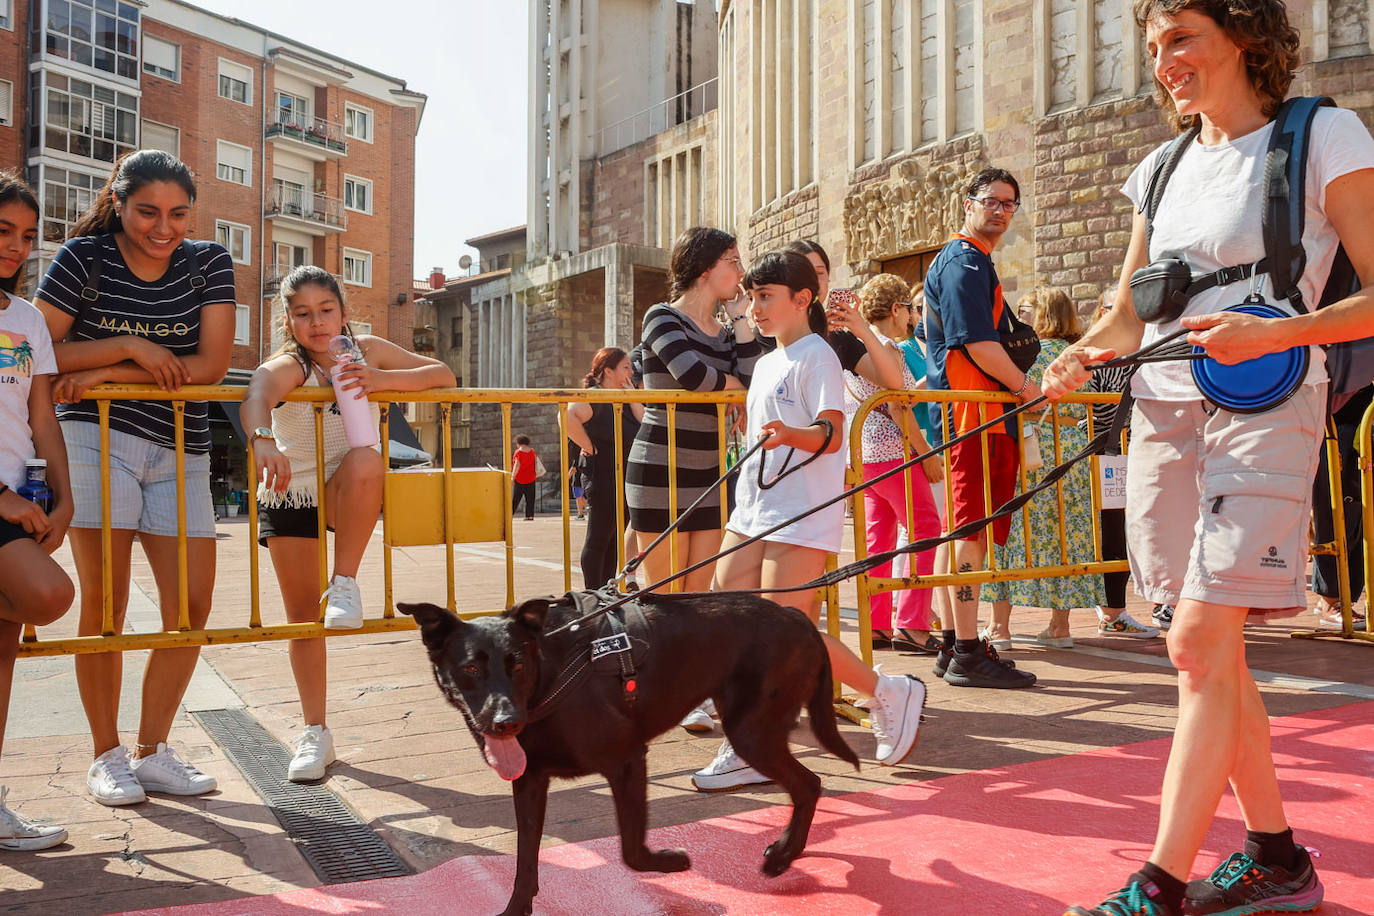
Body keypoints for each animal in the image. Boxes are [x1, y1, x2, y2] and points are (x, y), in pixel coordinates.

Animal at [398, 596, 857, 916]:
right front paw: (515, 909)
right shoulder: (529, 781)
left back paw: (783, 856)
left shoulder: (627, 760)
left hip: (751, 734)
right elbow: (525, 860)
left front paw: (669, 863)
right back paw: (788, 851)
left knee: (809, 784)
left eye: (518, 665)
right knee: (807, 785)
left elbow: (632, 852)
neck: (548, 678)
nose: (506, 723)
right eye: (470, 669)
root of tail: (795, 614)